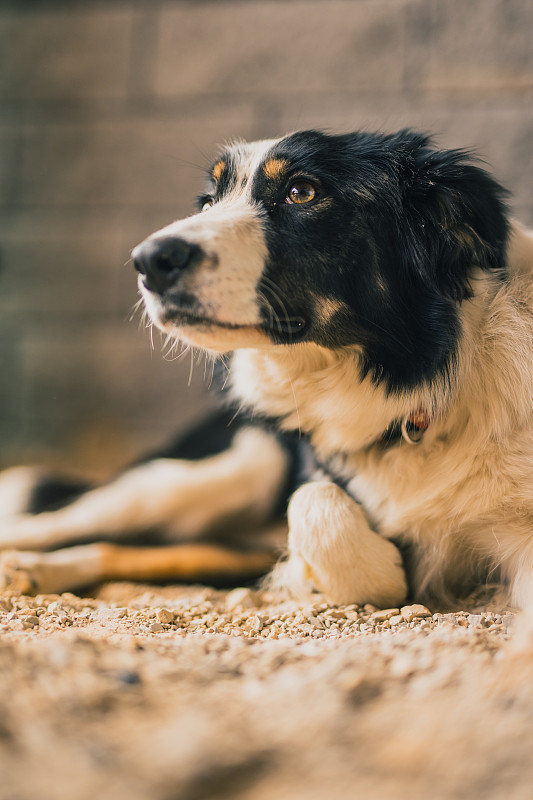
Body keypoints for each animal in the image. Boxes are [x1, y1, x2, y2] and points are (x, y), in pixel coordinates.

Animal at [2, 128, 532, 620]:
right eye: (208, 201)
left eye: (302, 192)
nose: (148, 260)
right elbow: (315, 501)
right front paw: (383, 572)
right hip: (222, 469)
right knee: (52, 523)